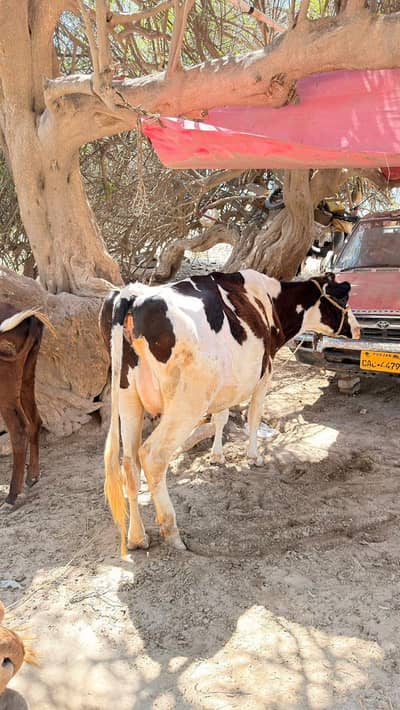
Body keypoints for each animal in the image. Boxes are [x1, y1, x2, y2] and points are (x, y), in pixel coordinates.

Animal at [100, 270, 360, 555]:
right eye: (343, 296)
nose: (357, 328)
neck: (269, 299)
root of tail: (132, 295)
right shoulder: (265, 374)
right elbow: (254, 416)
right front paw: (254, 457)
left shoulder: (228, 384)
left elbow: (221, 417)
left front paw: (217, 456)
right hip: (186, 404)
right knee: (152, 456)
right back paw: (172, 533)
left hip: (128, 398)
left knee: (129, 463)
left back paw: (137, 537)